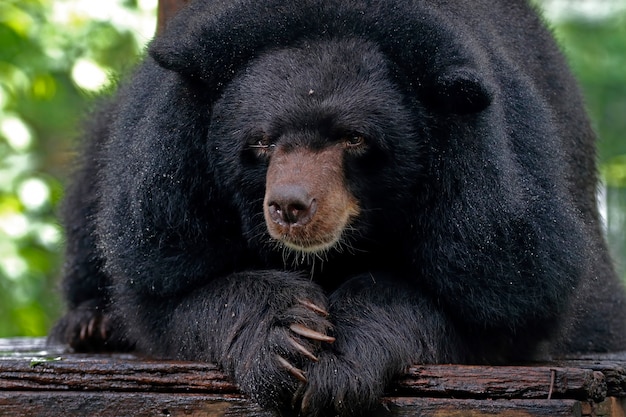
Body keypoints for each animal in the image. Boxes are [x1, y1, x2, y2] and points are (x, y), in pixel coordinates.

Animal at [50, 0, 624, 414]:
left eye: (353, 138)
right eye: (261, 142)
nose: (290, 206)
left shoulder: (499, 216)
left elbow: (488, 301)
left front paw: (337, 361)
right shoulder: (165, 190)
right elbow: (169, 288)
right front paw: (289, 337)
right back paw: (91, 323)